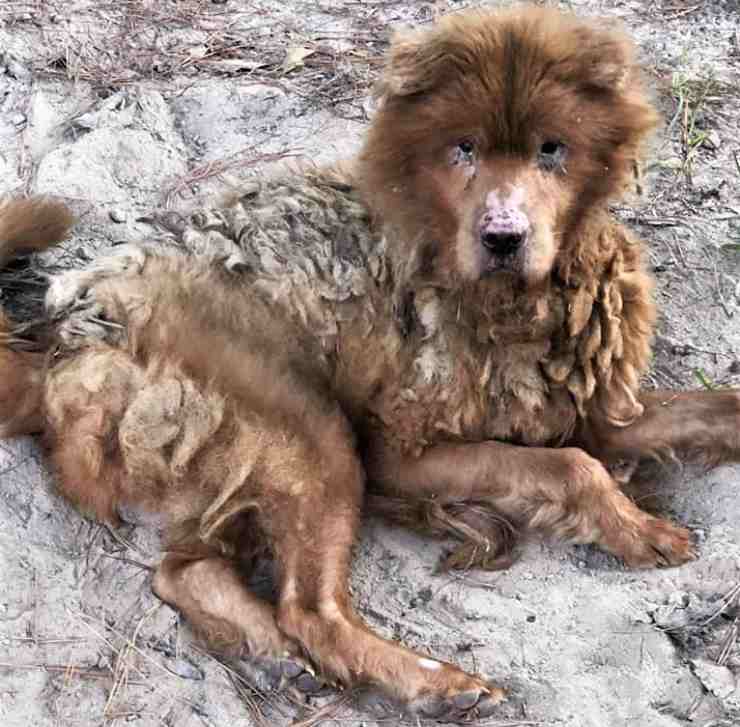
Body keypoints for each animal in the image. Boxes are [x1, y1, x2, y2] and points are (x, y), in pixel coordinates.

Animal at [1, 5, 740, 724]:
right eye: (463, 149)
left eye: (551, 149)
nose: (502, 237)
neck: (511, 302)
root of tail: (66, 337)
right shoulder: (401, 458)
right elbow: (570, 467)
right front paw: (639, 529)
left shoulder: (596, 408)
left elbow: (710, 408)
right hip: (308, 428)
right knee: (309, 610)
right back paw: (434, 682)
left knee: (185, 570)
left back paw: (269, 648)